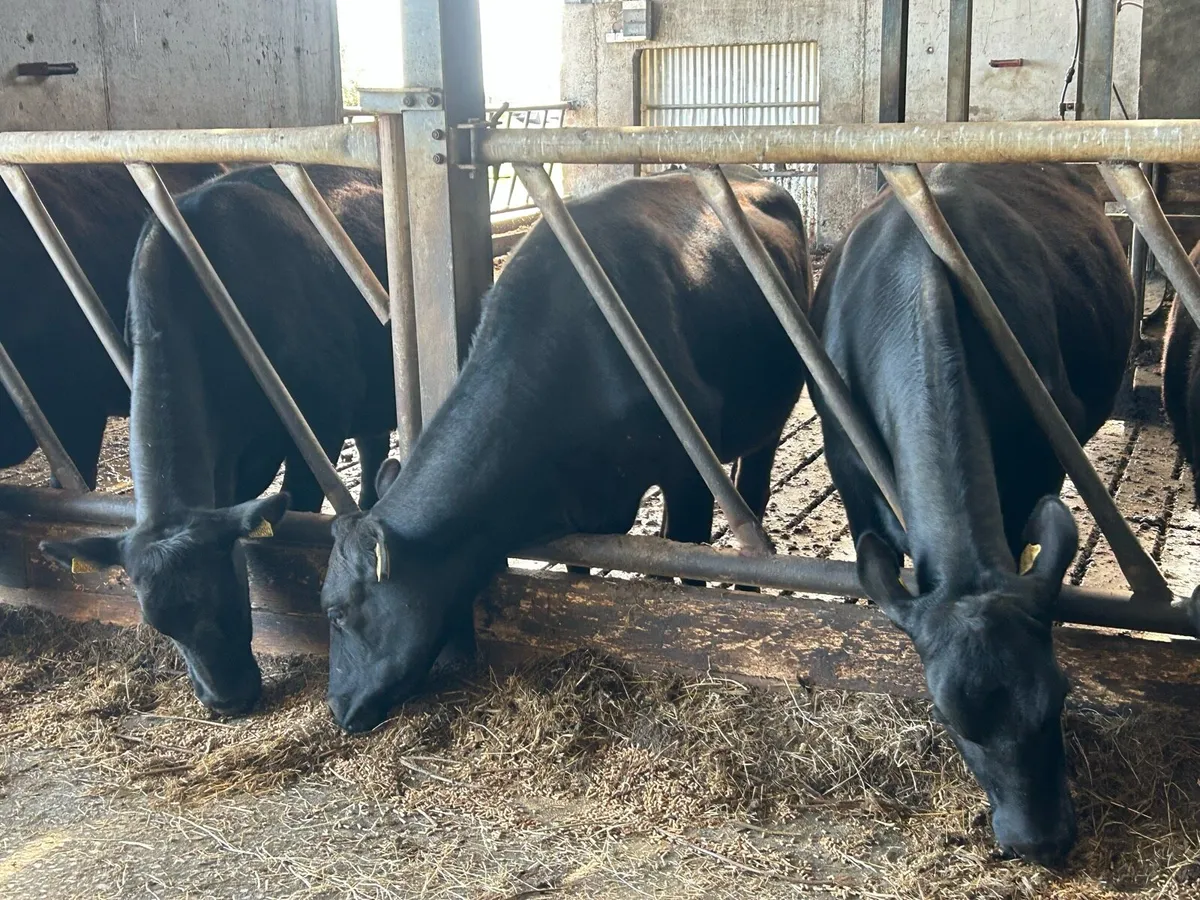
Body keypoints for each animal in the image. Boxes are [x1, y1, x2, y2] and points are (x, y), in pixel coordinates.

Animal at [317, 166, 811, 734]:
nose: (337, 707)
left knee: (753, 491)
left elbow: (690, 566)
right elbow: (581, 571)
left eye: (335, 611)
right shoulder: (577, 504)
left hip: (770, 415)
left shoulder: (689, 470)